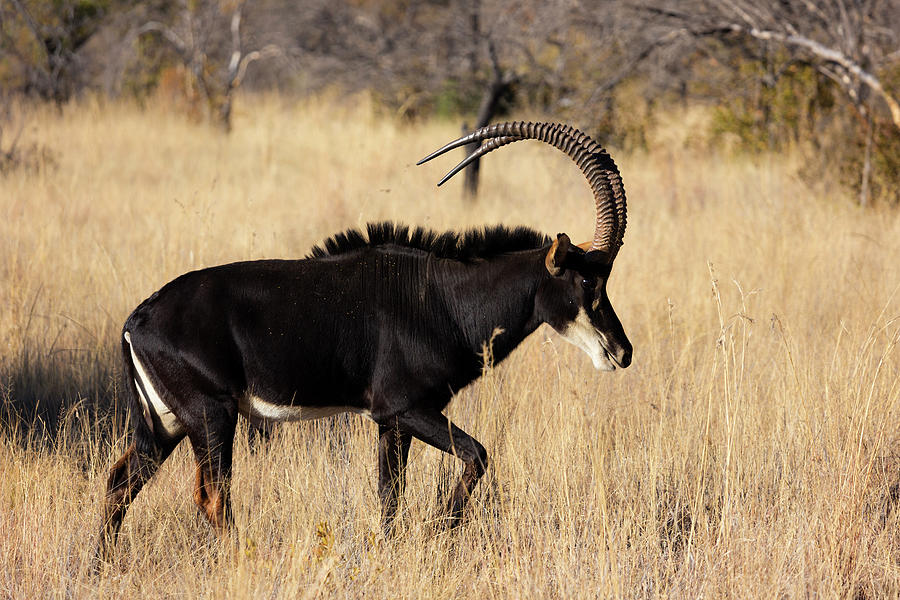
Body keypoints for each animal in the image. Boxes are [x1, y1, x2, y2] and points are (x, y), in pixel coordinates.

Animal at [96, 119, 632, 560]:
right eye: (588, 280)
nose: (622, 353)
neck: (444, 298)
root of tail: (136, 320)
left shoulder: (391, 424)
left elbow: (389, 498)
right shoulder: (405, 408)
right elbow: (477, 455)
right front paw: (437, 533)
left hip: (166, 424)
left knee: (120, 482)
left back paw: (101, 566)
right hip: (211, 417)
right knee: (211, 497)